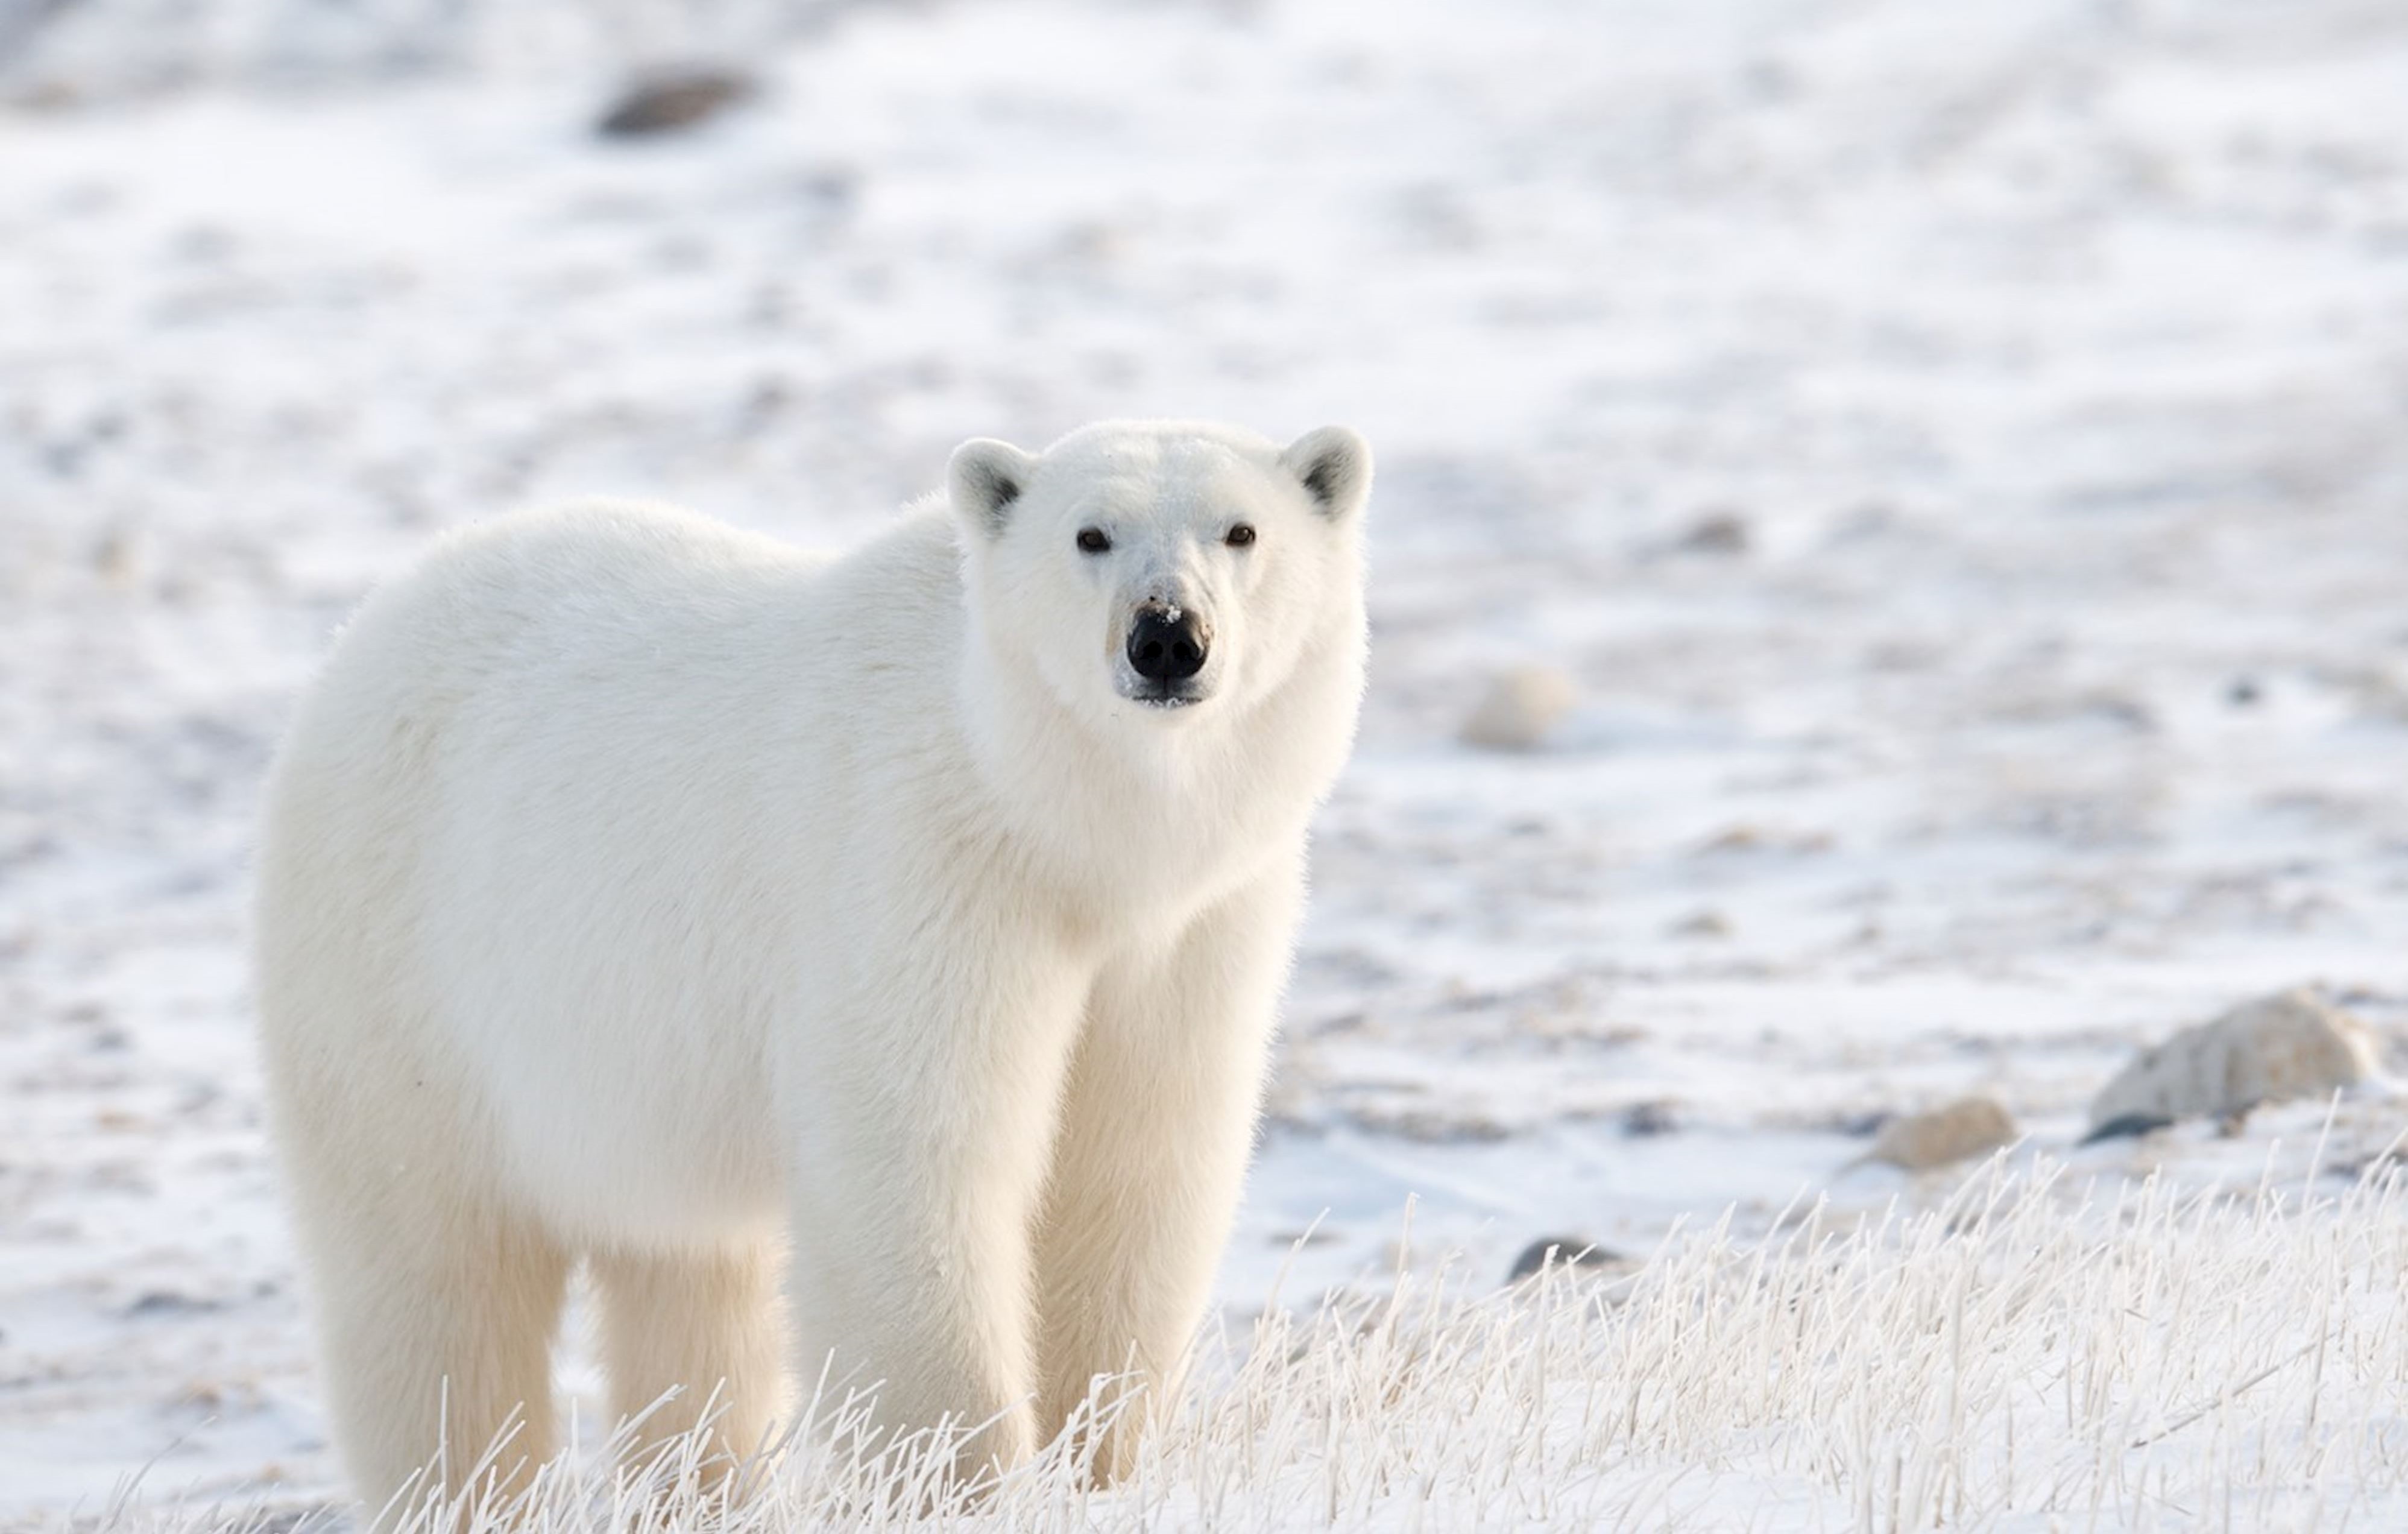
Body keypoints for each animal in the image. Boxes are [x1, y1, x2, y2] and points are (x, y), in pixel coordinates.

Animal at [251, 418, 1377, 1512]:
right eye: (1089, 534)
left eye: (1240, 530)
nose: (1167, 636)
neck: (1059, 829)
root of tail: (371, 623)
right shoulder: (919, 870)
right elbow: (916, 1164)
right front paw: (963, 1480)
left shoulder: (1190, 928)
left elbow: (1134, 1166)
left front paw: (1098, 1463)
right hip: (399, 979)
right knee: (436, 1284)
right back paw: (465, 1486)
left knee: (688, 1287)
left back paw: (698, 1488)